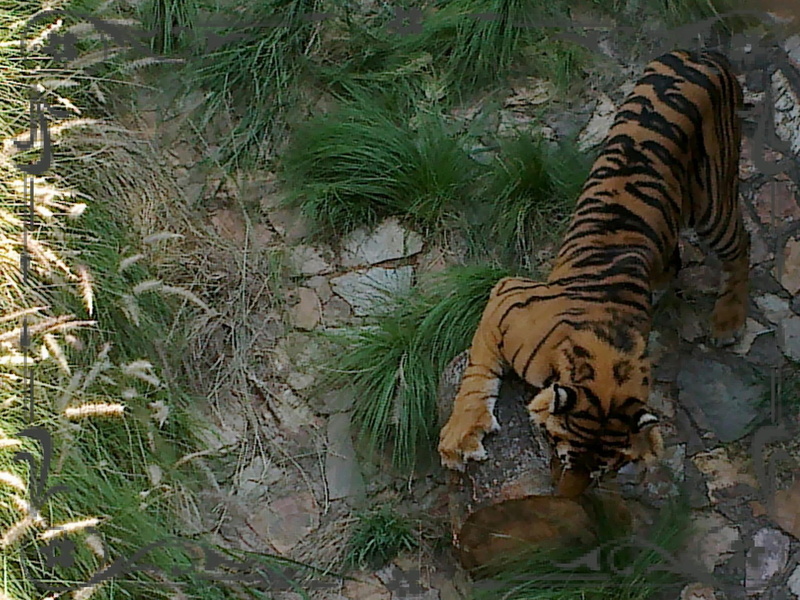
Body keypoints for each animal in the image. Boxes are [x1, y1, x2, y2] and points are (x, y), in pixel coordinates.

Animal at [438, 49, 749, 498]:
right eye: (559, 449)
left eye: (606, 469)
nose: (568, 500)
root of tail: (704, 54)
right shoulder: (507, 296)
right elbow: (477, 371)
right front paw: (461, 434)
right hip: (705, 205)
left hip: (712, 198)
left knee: (739, 247)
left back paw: (728, 317)